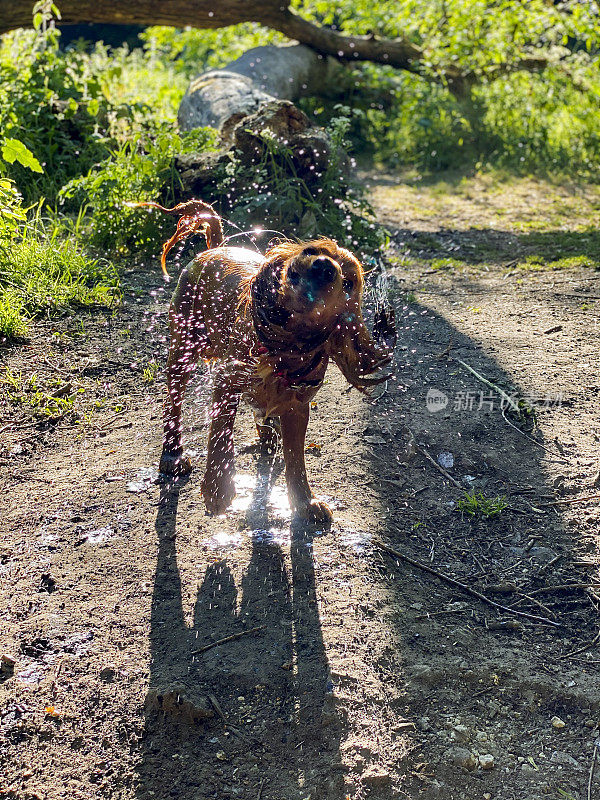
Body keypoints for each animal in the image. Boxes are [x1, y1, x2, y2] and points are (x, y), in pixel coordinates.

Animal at [145, 200, 390, 524]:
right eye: (311, 250)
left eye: (349, 282)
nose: (324, 266)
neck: (284, 346)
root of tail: (216, 248)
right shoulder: (227, 381)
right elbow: (220, 437)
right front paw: (219, 489)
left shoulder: (297, 407)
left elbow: (295, 459)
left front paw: (305, 502)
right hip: (182, 349)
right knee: (172, 404)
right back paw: (172, 454)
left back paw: (266, 432)